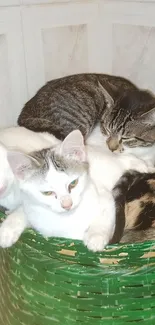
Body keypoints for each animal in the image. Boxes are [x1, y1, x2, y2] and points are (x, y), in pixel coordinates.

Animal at [0, 129, 150, 251]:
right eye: (48, 193)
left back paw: (141, 164)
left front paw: (96, 236)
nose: (67, 204)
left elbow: (105, 212)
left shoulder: (104, 195)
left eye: (73, 184)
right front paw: (7, 230)